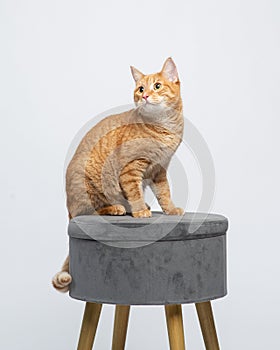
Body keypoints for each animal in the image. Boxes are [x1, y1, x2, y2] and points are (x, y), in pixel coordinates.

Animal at [52, 58, 185, 292]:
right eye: (140, 89)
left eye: (157, 86)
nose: (145, 96)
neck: (163, 128)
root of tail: (68, 206)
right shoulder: (131, 169)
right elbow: (135, 192)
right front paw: (140, 211)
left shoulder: (159, 169)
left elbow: (164, 193)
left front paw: (169, 209)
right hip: (90, 187)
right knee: (88, 211)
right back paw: (117, 208)